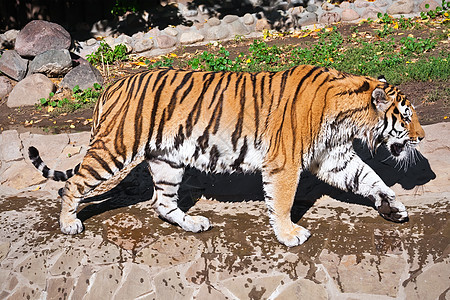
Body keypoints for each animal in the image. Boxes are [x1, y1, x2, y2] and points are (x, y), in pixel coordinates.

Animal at [29, 66, 426, 248]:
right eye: (406, 117)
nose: (422, 137)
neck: (349, 118)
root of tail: (112, 84)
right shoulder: (285, 162)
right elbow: (283, 201)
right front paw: (289, 234)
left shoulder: (333, 157)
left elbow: (370, 179)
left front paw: (394, 207)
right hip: (115, 148)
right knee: (72, 185)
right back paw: (69, 223)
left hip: (168, 160)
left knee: (163, 203)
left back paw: (194, 223)